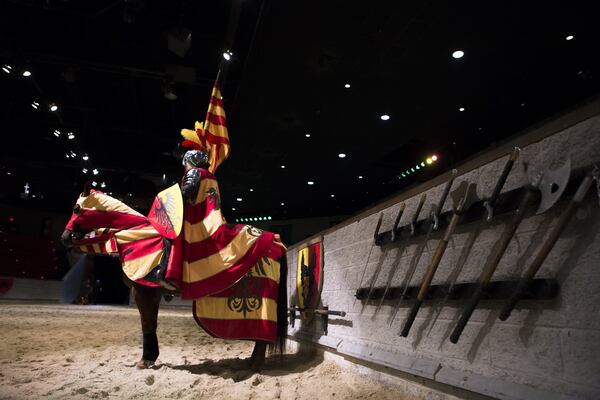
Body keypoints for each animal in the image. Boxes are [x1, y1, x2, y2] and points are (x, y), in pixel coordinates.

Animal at [61, 183, 288, 370]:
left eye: (76, 208)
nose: (64, 237)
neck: (135, 236)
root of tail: (275, 240)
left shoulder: (143, 291)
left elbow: (147, 323)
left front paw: (146, 359)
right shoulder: (152, 294)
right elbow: (150, 322)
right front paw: (150, 357)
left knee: (263, 337)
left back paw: (254, 365)